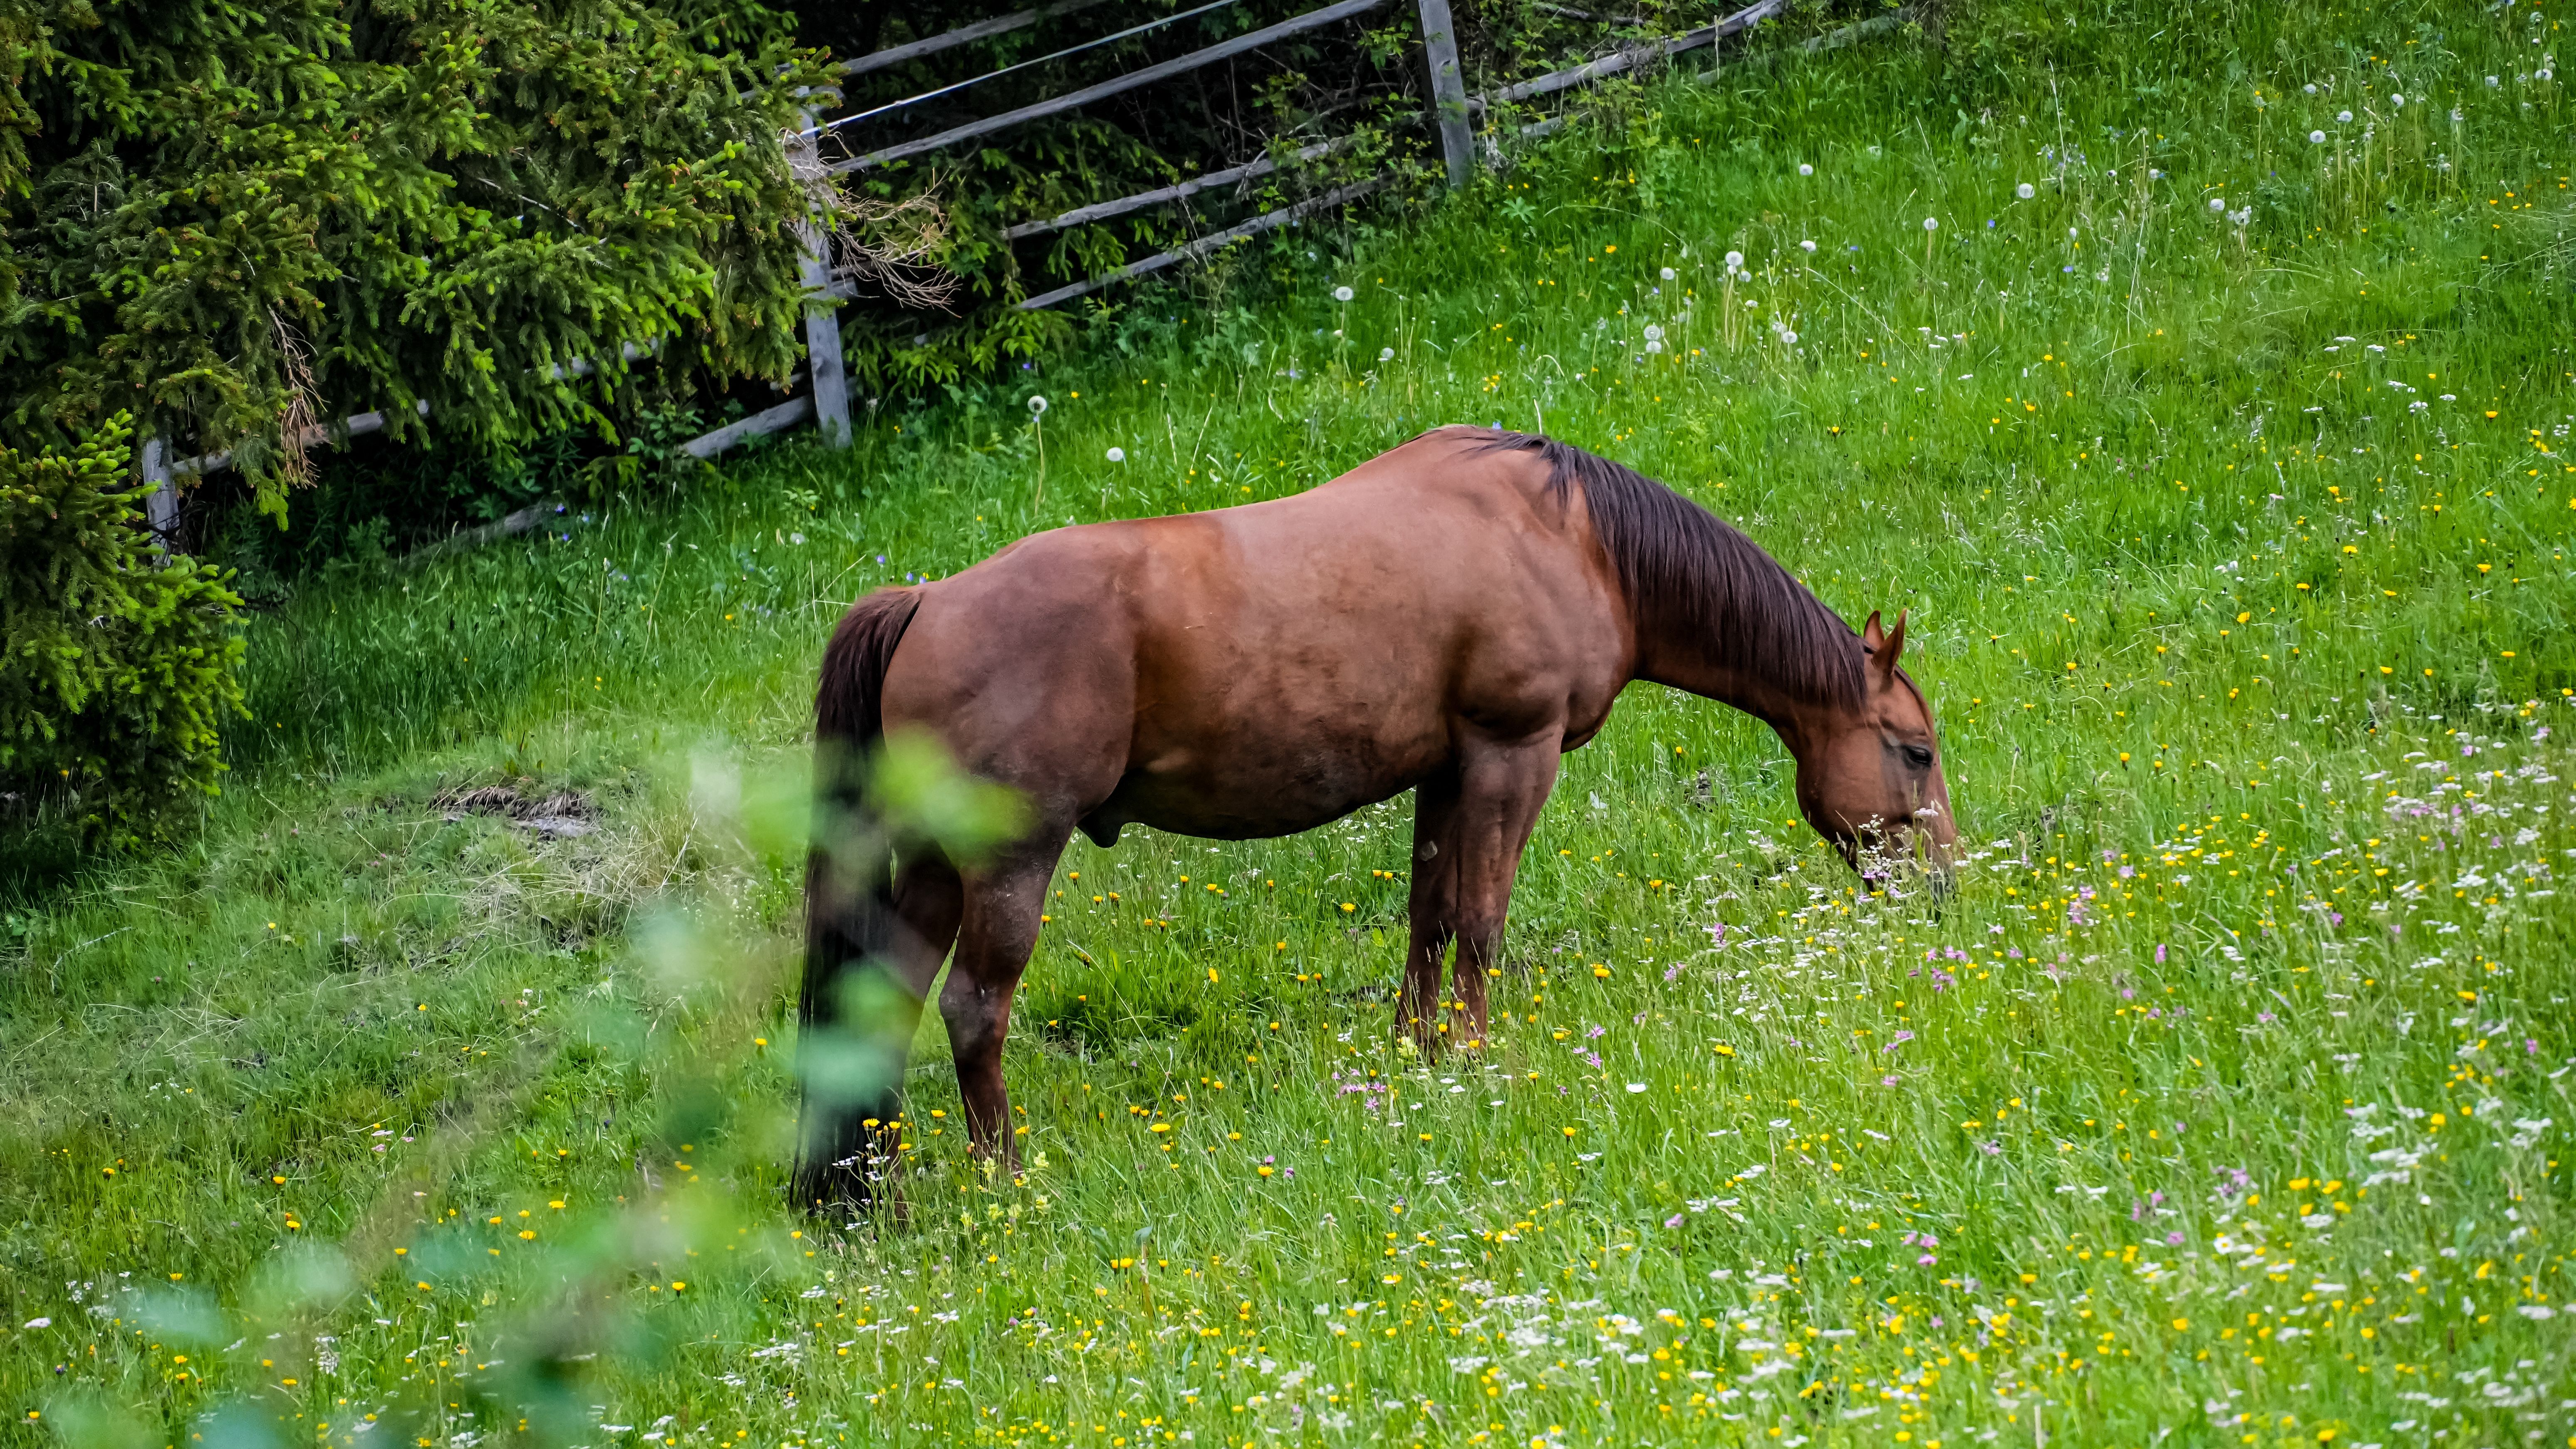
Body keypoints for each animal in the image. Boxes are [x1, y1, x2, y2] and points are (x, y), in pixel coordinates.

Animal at [792, 425, 1956, 1210]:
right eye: (1915, 750)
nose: (1943, 891)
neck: (1574, 536)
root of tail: (925, 602)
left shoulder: (1445, 772)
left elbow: (1429, 918)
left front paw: (1416, 1055)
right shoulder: (1511, 754)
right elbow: (1482, 919)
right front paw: (1476, 1059)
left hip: (933, 865)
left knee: (883, 1004)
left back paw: (881, 1189)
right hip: (1007, 860)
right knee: (972, 1010)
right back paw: (1003, 1177)